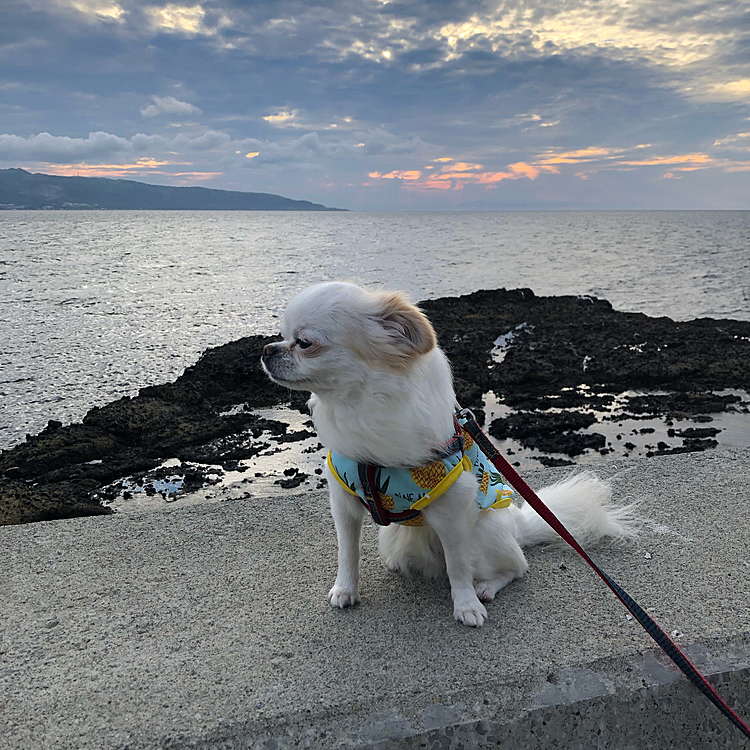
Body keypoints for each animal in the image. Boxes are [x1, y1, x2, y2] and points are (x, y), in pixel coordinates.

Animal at [262, 284, 636, 628]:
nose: (266, 350)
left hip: (486, 532)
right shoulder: (344, 501)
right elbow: (347, 551)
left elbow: (457, 565)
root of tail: (518, 525)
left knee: (516, 567)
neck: (358, 407)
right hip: (394, 535)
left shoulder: (452, 510)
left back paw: (486, 587)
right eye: (281, 337)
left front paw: (467, 606)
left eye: (305, 342)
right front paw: (345, 590)